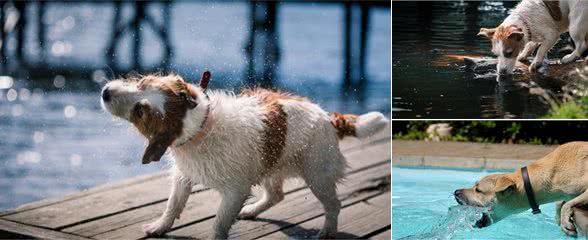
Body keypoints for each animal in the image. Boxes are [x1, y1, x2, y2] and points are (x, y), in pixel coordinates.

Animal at [100, 71, 390, 238]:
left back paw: (328, 231)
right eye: (141, 83)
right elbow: (173, 204)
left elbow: (219, 223)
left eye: (140, 111)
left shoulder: (234, 191)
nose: (105, 92)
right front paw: (160, 227)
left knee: (333, 205)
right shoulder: (184, 176)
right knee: (276, 195)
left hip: (317, 175)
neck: (202, 127)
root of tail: (328, 117)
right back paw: (253, 210)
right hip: (269, 164)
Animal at [454, 142, 588, 237]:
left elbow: (567, 204)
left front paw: (565, 222)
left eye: (478, 190)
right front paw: (559, 218)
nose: (456, 192)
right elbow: (560, 203)